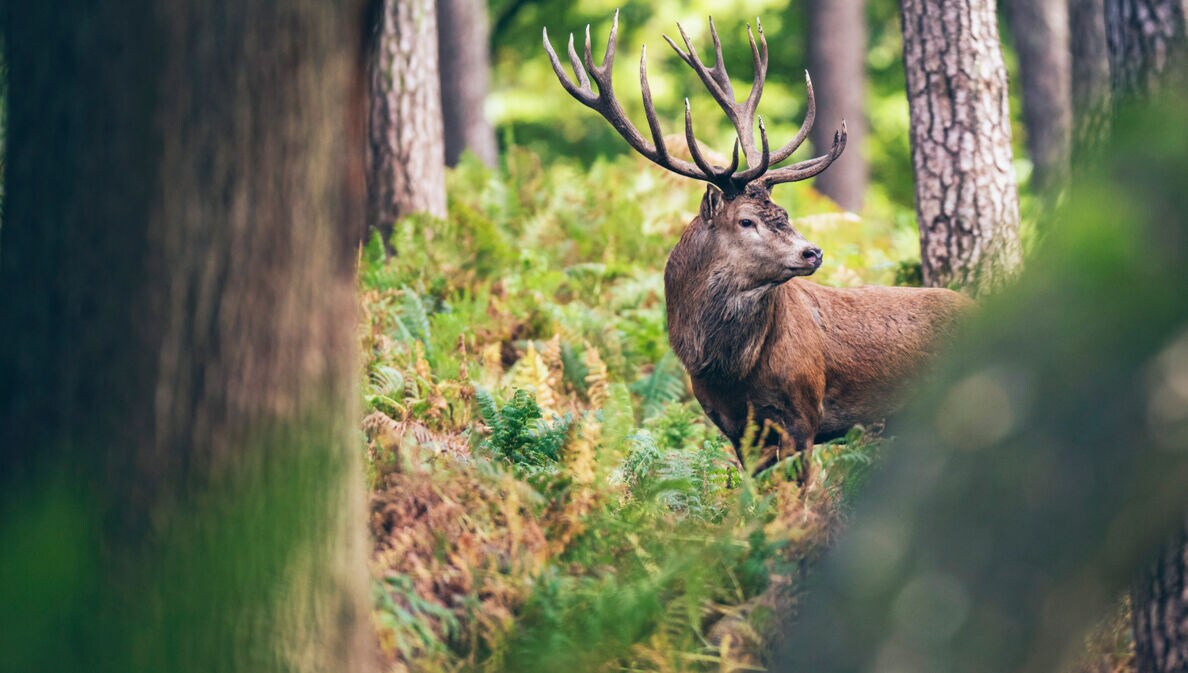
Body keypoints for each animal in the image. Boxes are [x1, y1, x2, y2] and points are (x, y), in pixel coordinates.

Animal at [544, 14, 972, 473]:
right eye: (746, 220)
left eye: (784, 213)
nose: (813, 251)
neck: (730, 373)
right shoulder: (734, 428)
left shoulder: (803, 414)